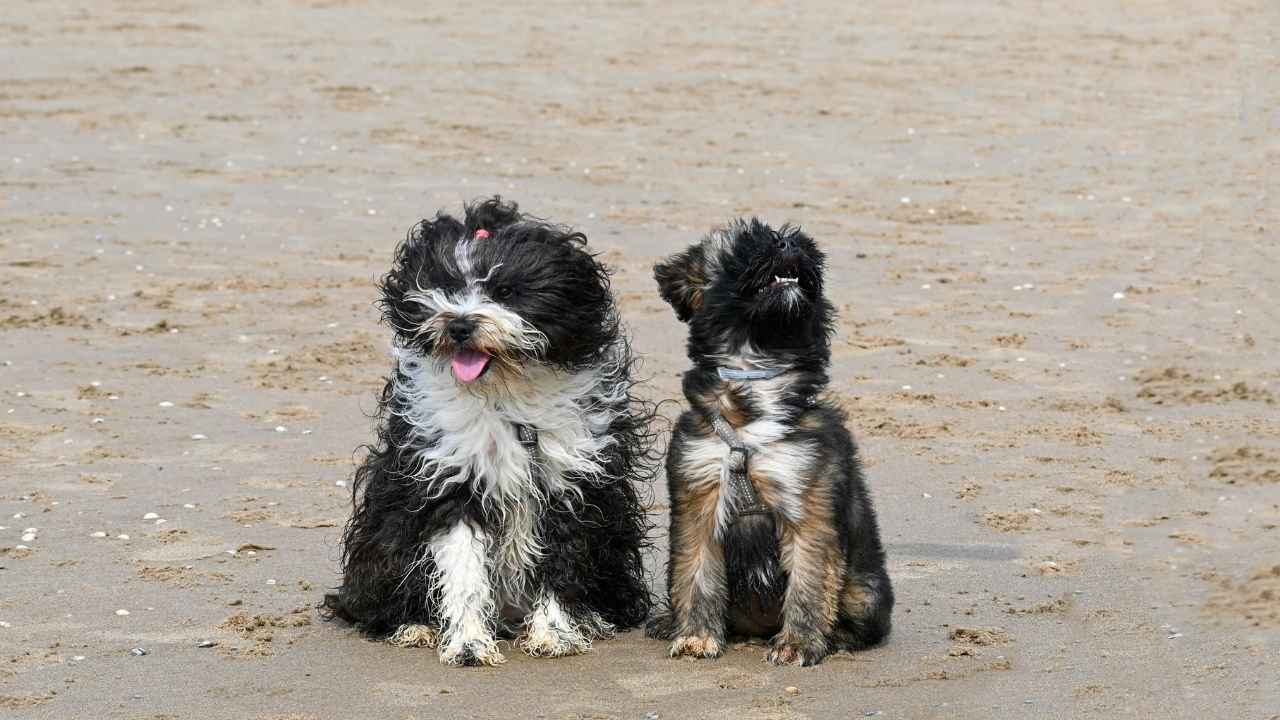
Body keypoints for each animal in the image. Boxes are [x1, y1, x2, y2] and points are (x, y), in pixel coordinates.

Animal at [325, 197, 655, 666]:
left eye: (505, 291)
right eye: (444, 285)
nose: (460, 325)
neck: (505, 396)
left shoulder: (570, 480)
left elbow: (562, 556)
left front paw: (554, 633)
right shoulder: (450, 477)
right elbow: (463, 567)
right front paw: (467, 643)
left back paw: (590, 619)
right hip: (385, 539)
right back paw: (414, 625)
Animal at [650, 220, 890, 666]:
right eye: (748, 242)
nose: (788, 242)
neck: (757, 376)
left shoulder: (808, 505)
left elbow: (809, 583)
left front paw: (798, 643)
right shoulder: (698, 495)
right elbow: (695, 573)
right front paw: (696, 636)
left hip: (865, 590)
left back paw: (838, 638)